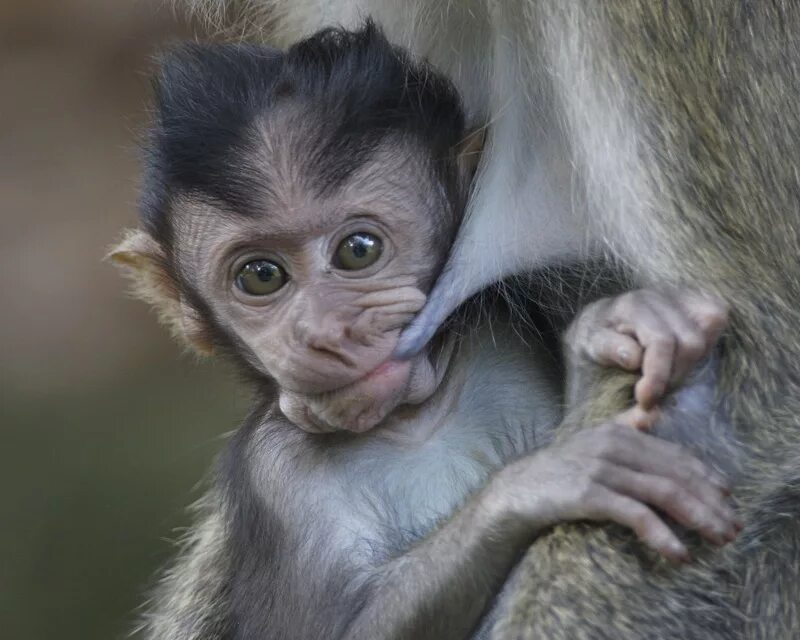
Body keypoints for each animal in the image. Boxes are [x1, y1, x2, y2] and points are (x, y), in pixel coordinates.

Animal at [184, 1, 800, 640]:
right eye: (262, 276)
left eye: (359, 250)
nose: (326, 335)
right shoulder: (274, 469)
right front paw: (557, 475)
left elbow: (759, 372)